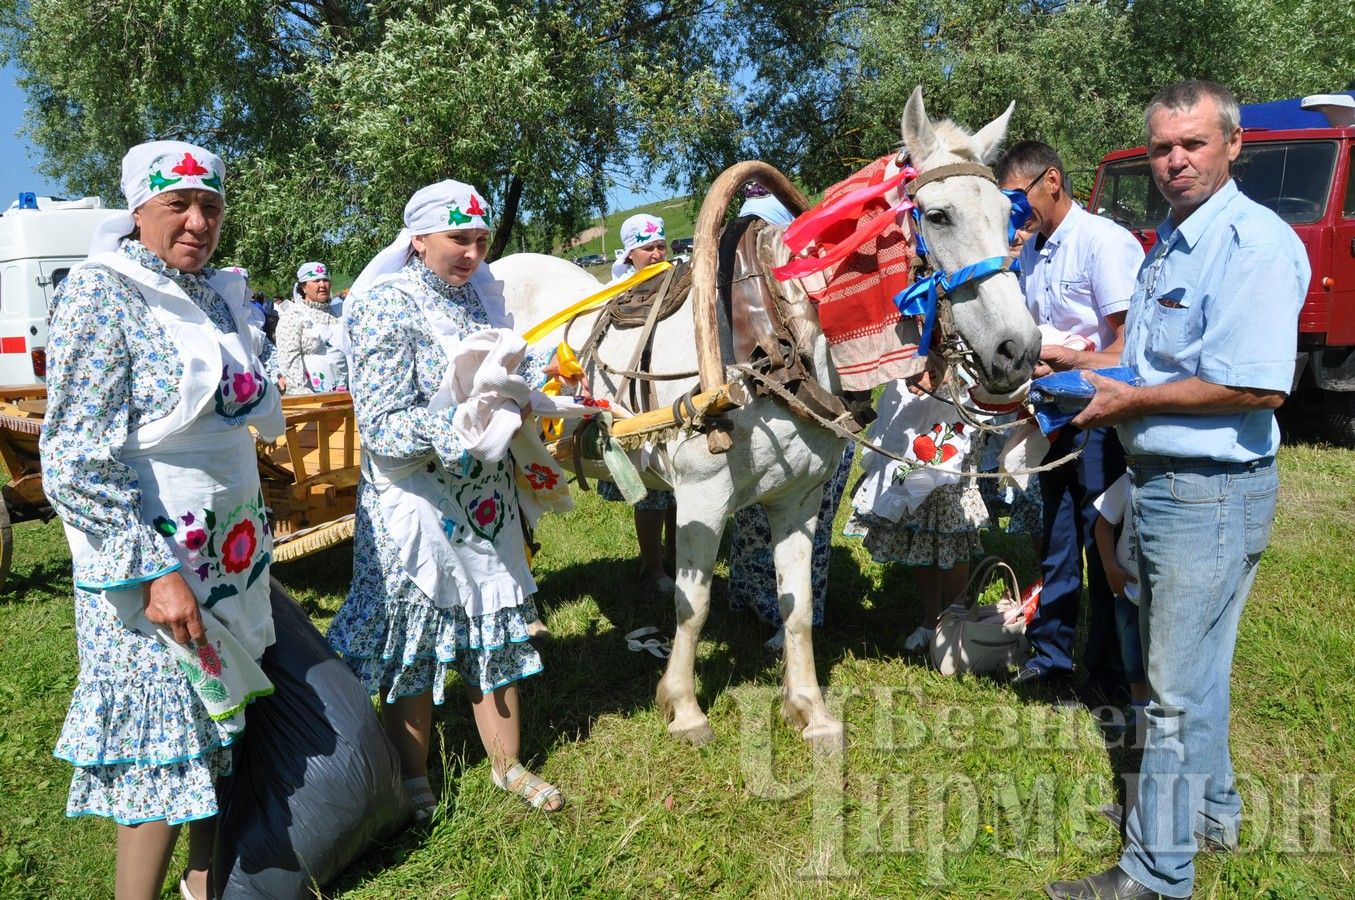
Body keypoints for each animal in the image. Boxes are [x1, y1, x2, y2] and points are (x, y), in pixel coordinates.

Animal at [495, 89, 1035, 753]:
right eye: (938, 216)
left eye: (1010, 216)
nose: (1019, 350)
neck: (777, 335)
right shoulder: (702, 495)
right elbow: (693, 604)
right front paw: (683, 706)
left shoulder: (798, 500)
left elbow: (797, 605)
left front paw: (809, 709)